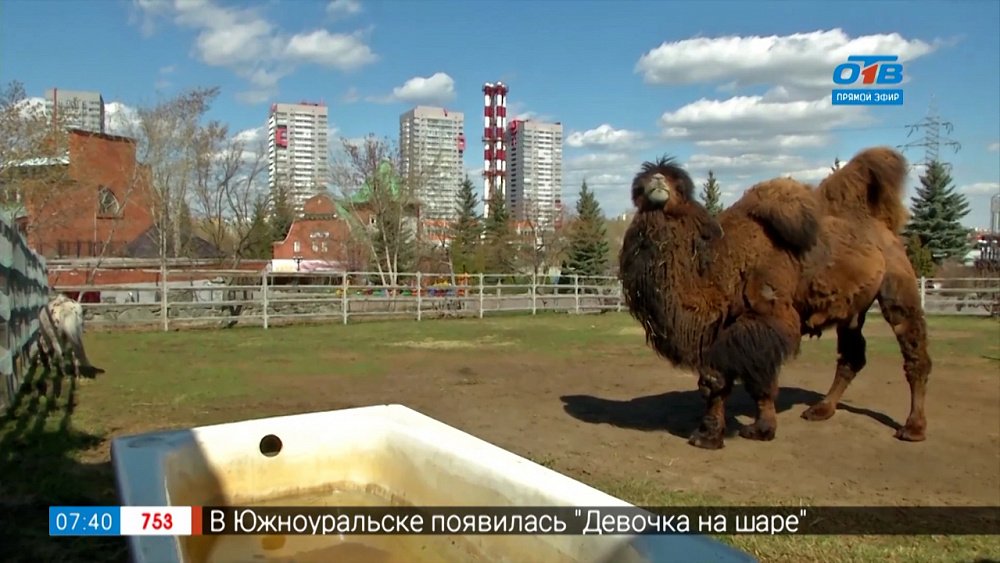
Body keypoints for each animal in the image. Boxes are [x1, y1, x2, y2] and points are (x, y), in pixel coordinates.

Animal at [618, 147, 931, 450]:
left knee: (913, 352)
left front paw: (756, 430)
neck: (722, 263)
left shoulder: (768, 317)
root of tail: (885, 227)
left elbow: (738, 378)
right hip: (852, 311)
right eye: (641, 182)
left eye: (679, 183)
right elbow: (733, 380)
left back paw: (913, 428)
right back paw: (821, 410)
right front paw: (712, 435)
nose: (658, 180)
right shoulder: (722, 327)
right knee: (851, 356)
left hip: (898, 287)